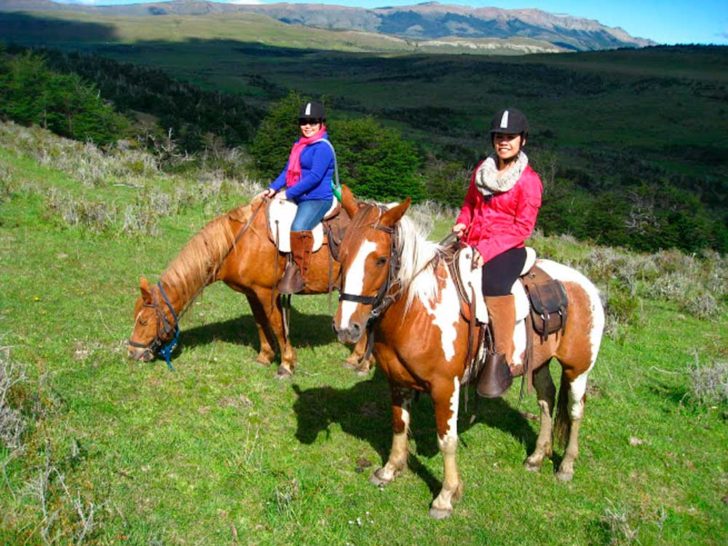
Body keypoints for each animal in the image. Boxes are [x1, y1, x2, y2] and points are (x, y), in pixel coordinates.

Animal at [126, 197, 372, 378]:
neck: (237, 243)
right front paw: (265, 356)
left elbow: (277, 325)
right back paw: (357, 360)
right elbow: (260, 323)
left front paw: (286, 364)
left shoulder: (267, 292)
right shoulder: (252, 293)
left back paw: (361, 362)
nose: (132, 352)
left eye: (144, 321)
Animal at [334, 187, 604, 520]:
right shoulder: (397, 380)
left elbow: (447, 440)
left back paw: (565, 465)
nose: (347, 328)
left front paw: (446, 496)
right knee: (546, 400)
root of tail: (586, 285)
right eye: (341, 253)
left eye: (381, 260)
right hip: (539, 364)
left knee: (576, 410)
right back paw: (537, 457)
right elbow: (399, 424)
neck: (418, 310)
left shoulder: (445, 387)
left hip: (578, 368)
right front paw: (390, 469)